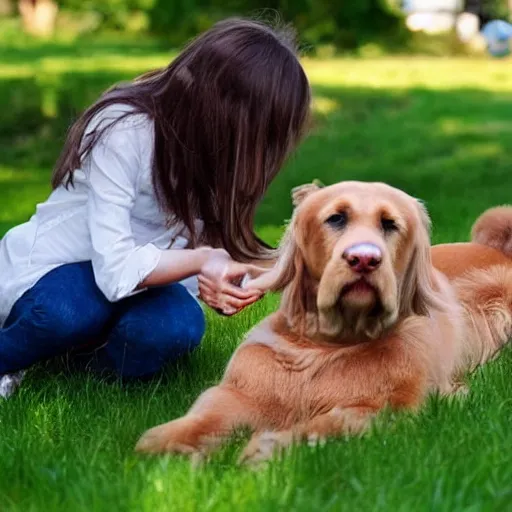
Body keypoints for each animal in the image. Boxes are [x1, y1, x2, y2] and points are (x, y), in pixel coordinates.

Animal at [134, 182, 510, 466]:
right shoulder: (239, 393)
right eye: (336, 218)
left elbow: (324, 425)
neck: (328, 343)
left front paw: (266, 447)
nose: (364, 259)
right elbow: (202, 417)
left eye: (389, 224)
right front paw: (164, 448)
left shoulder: (389, 409)